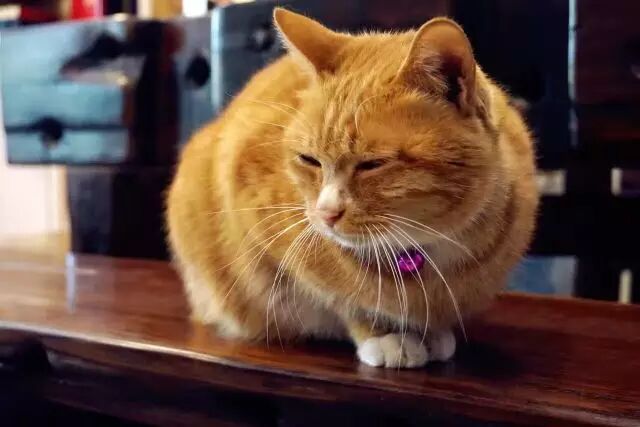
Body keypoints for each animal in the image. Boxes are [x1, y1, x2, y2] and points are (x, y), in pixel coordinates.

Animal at [166, 8, 538, 368]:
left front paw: (429, 331)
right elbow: (345, 300)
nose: (326, 213)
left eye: (373, 164)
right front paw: (385, 335)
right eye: (309, 160)